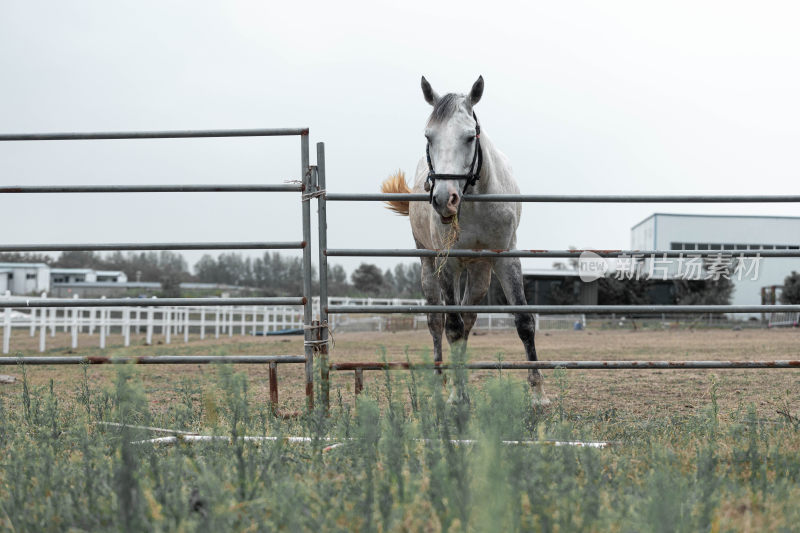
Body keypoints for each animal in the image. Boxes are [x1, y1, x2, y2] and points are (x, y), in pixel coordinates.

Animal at [382, 74, 548, 400]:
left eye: (470, 137)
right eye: (428, 137)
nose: (444, 199)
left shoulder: (505, 257)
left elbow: (524, 322)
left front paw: (538, 394)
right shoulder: (448, 264)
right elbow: (453, 328)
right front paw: (458, 396)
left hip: (480, 272)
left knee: (469, 318)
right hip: (428, 265)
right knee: (437, 322)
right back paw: (441, 385)